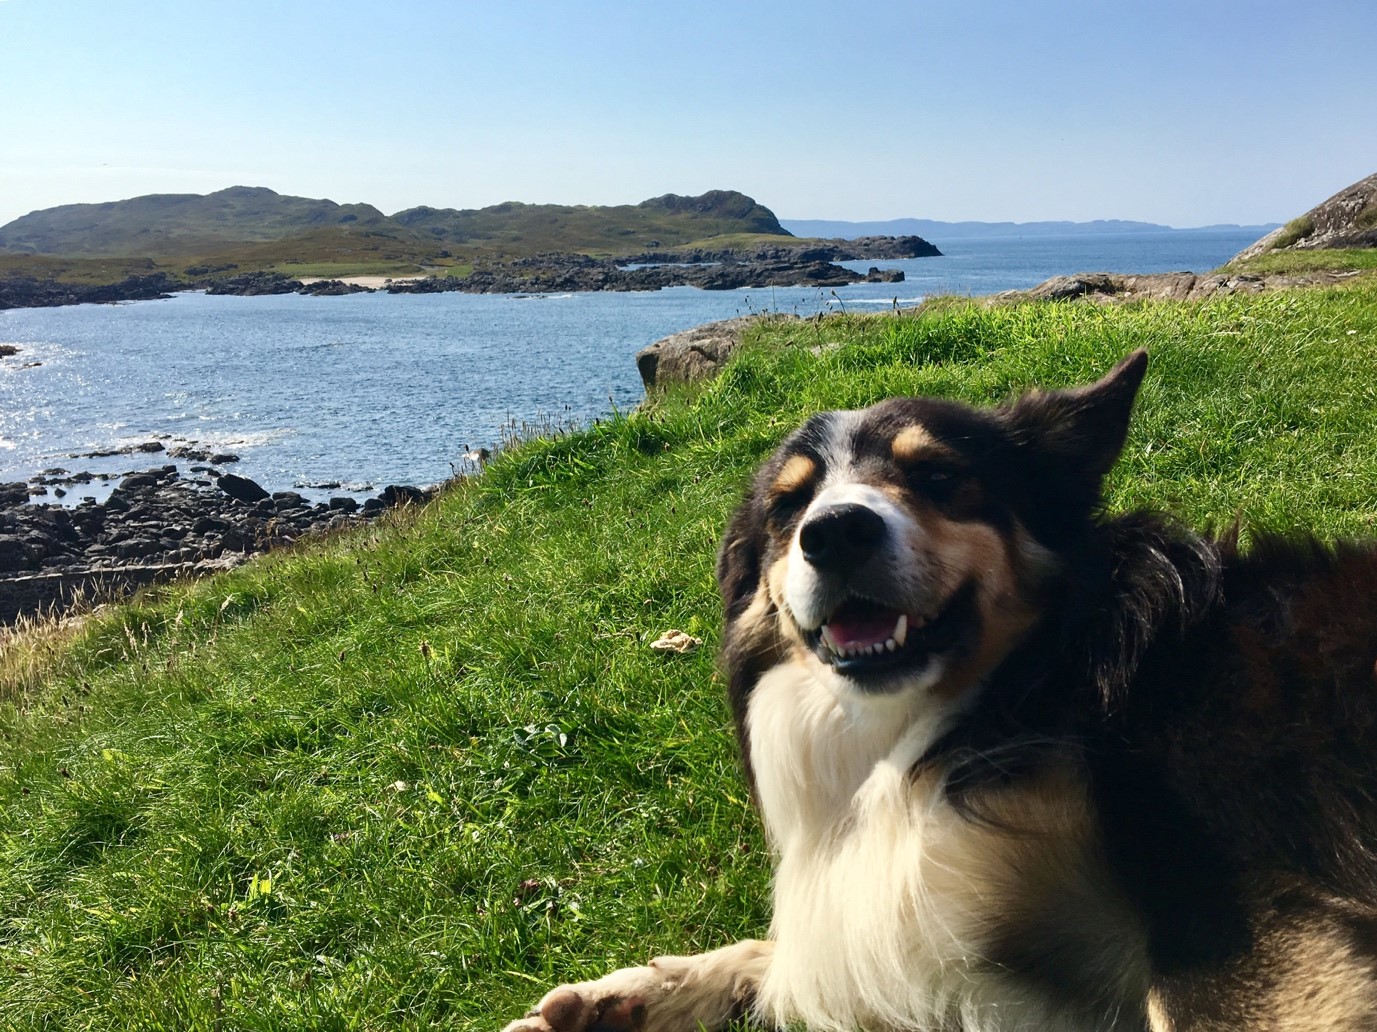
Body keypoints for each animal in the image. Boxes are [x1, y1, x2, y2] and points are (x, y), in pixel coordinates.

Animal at [501, 349, 1377, 1025]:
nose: (834, 532)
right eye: (789, 505)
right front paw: (629, 995)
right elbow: (798, 949)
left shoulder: (1246, 919)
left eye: (938, 475)